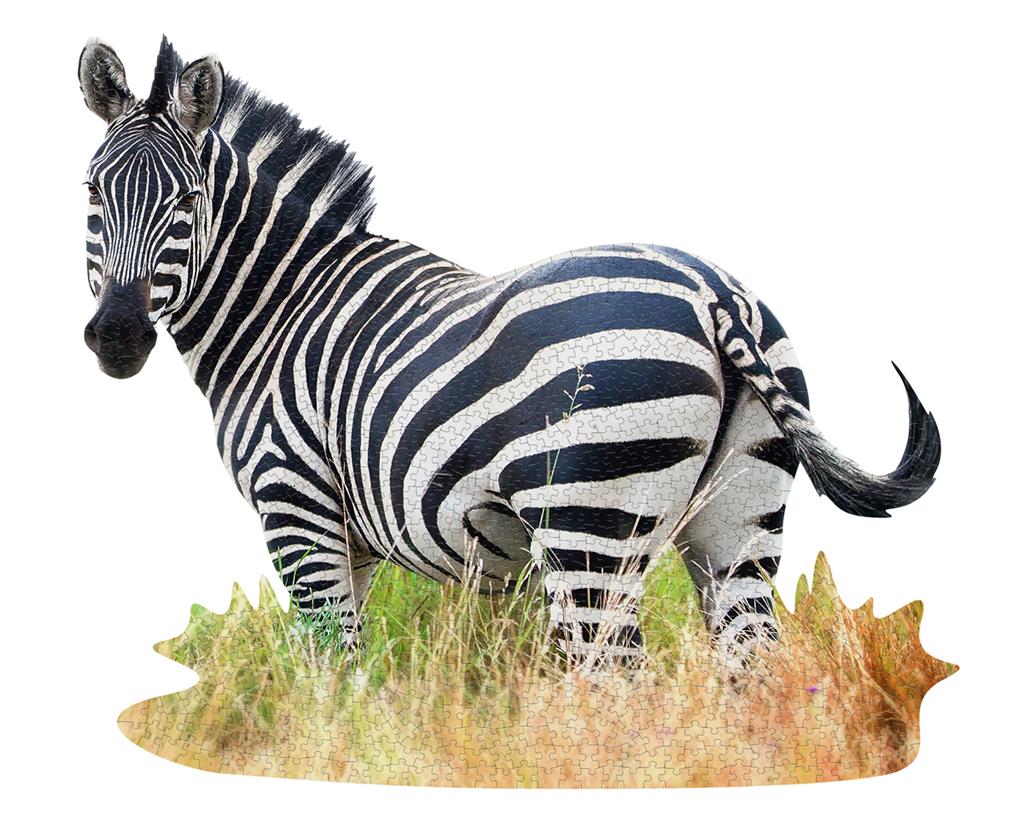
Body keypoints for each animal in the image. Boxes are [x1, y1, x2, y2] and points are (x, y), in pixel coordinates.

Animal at [78, 38, 940, 671]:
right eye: (91, 191)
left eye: (187, 201)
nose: (118, 337)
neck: (279, 303)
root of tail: (711, 293)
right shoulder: (364, 541)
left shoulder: (296, 505)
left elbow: (332, 670)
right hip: (741, 523)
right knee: (751, 672)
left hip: (590, 523)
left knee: (615, 686)